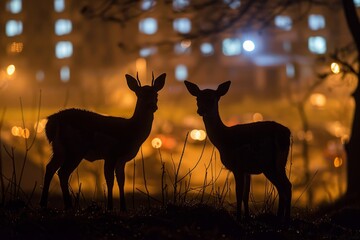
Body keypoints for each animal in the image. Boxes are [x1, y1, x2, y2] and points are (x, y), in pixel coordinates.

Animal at [40, 72, 167, 210]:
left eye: (156, 94)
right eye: (140, 94)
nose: (153, 106)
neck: (131, 131)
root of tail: (51, 122)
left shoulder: (121, 159)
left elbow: (121, 181)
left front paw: (123, 207)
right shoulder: (111, 154)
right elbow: (110, 180)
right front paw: (110, 207)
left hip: (59, 149)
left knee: (50, 168)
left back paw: (45, 204)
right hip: (75, 149)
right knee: (63, 172)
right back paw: (69, 206)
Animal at [184, 80, 292, 221]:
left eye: (213, 98)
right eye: (198, 98)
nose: (201, 110)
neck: (224, 139)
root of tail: (286, 133)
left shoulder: (238, 166)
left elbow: (239, 194)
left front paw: (239, 218)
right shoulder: (247, 170)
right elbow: (246, 195)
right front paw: (246, 217)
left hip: (268, 164)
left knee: (284, 186)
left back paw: (284, 218)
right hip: (280, 164)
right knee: (285, 187)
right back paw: (282, 217)